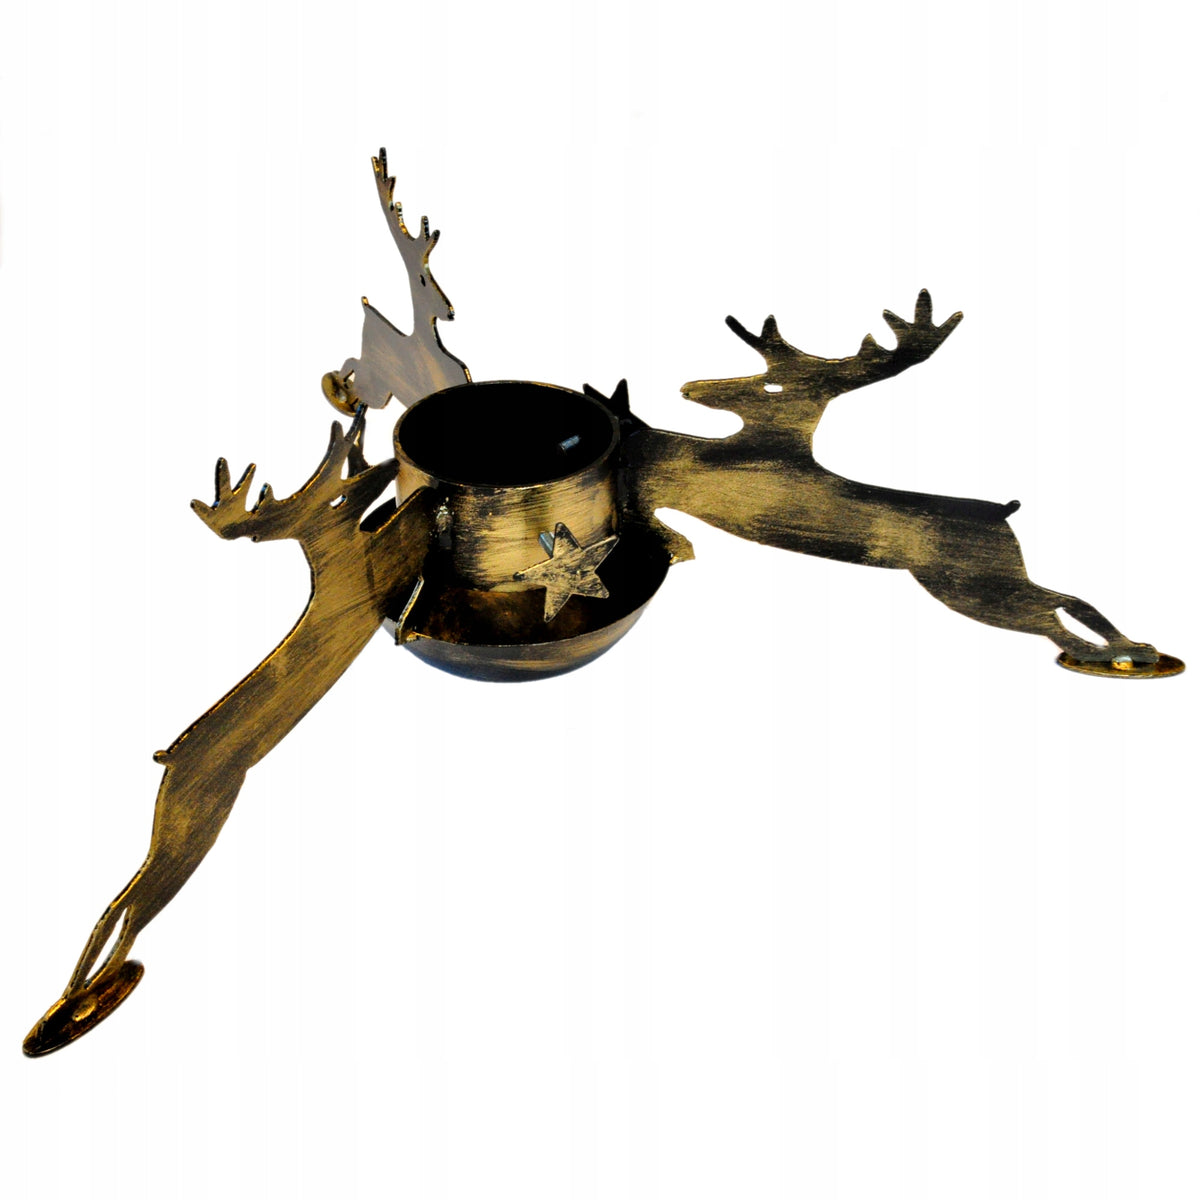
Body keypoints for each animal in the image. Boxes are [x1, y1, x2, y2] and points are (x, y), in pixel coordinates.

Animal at [624, 290, 1159, 666]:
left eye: (769, 384)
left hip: (967, 583)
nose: (690, 387)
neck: (764, 451)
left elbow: (648, 481)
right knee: (1064, 599)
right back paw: (1137, 647)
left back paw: (1112, 654)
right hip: (993, 574)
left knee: (1048, 614)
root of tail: (1004, 513)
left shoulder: (696, 477)